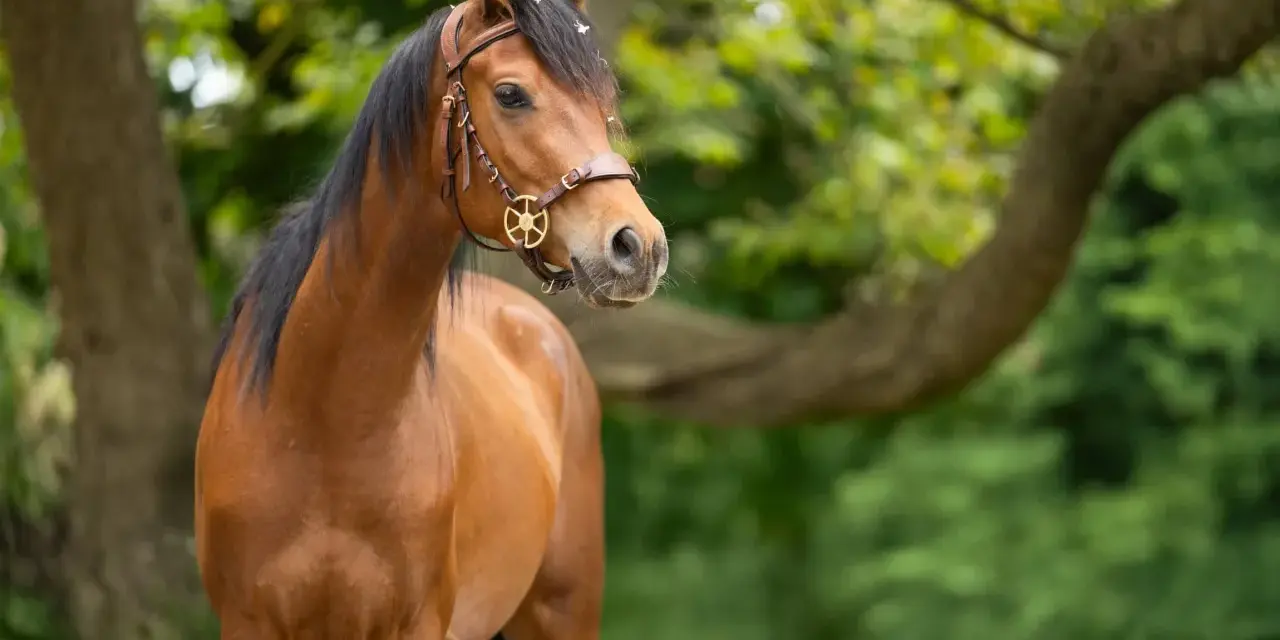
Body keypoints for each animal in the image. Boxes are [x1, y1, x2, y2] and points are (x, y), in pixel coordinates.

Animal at [194, 0, 667, 637]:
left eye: (603, 103)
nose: (638, 248)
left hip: (561, 609)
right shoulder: (249, 620)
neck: (325, 419)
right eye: (512, 94)